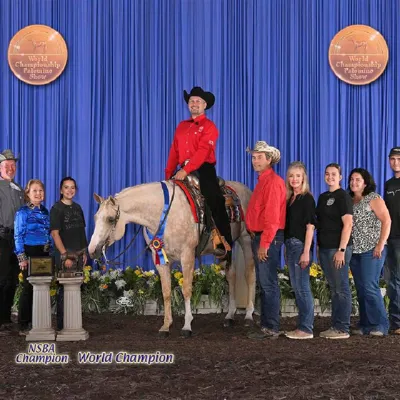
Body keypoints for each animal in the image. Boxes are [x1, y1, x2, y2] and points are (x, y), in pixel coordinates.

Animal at [88, 180, 256, 337]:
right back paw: (229, 316)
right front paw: (166, 326)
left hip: (246, 239)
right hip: (223, 250)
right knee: (231, 275)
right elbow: (166, 291)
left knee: (249, 273)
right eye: (95, 217)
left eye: (110, 219)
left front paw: (187, 326)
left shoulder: (187, 255)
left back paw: (248, 315)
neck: (165, 214)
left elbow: (186, 289)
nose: (92, 250)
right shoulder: (159, 258)